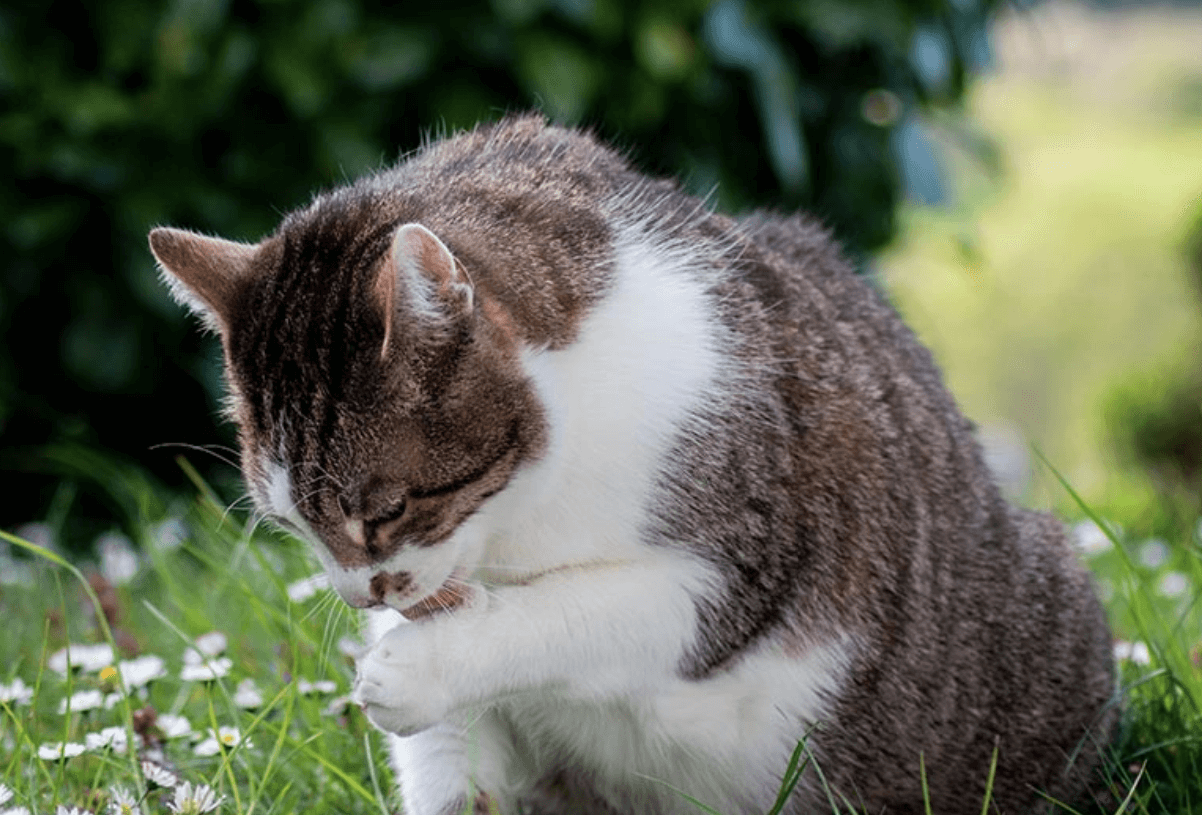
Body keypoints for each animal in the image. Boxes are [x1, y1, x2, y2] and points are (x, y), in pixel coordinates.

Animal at [147, 116, 1115, 815]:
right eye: (290, 524)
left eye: (383, 510)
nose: (357, 596)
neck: (523, 519)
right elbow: (457, 761)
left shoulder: (739, 563)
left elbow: (577, 612)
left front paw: (417, 666)